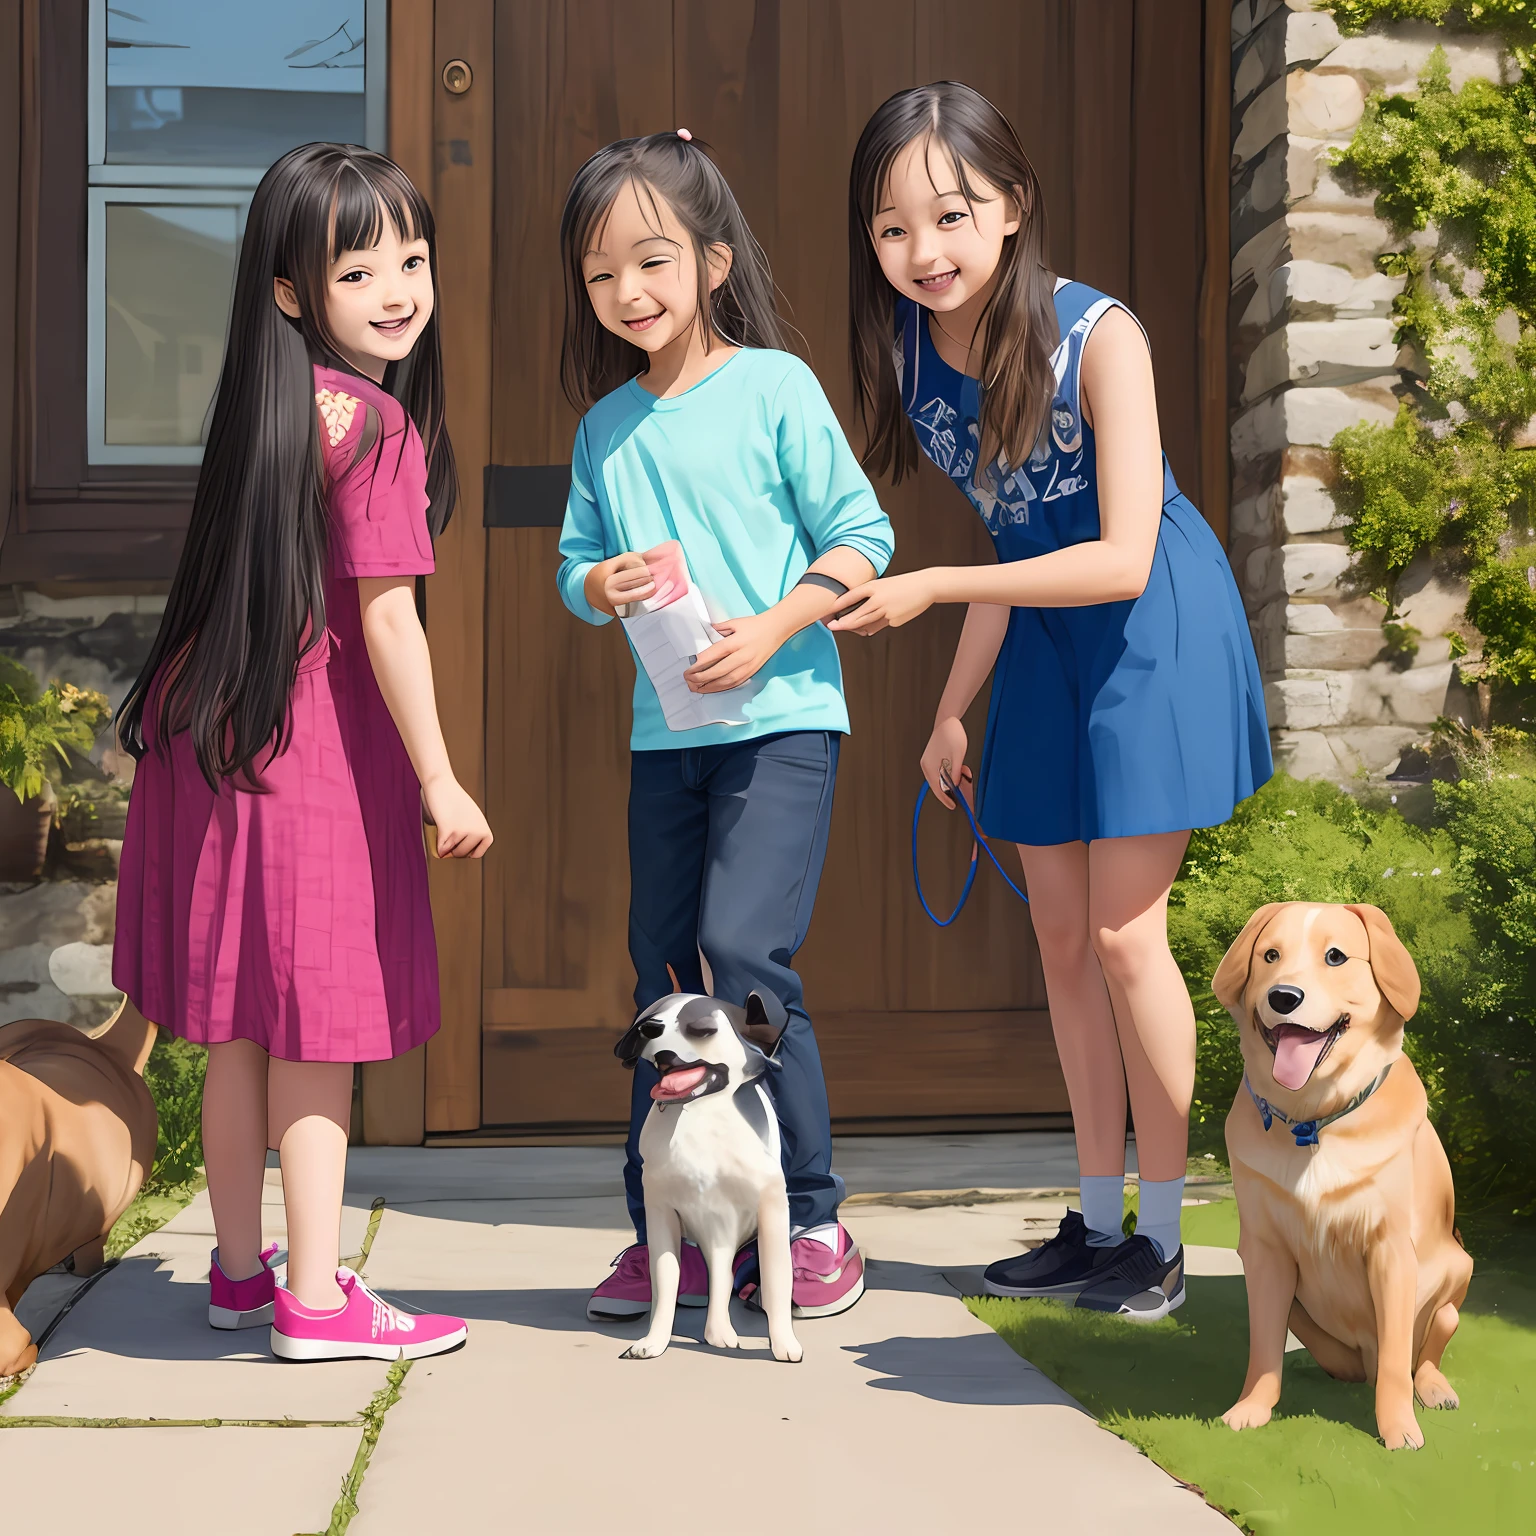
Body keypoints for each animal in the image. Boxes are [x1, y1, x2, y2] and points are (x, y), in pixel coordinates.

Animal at [611, 989, 804, 1363]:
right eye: (646, 1023)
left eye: (701, 1029)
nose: (650, 1029)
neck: (698, 1114)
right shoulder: (661, 1214)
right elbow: (665, 1281)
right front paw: (653, 1341)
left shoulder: (771, 1214)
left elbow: (776, 1281)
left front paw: (784, 1344)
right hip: (714, 1238)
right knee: (720, 1279)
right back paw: (718, 1333)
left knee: (730, 1278)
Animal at [1210, 897, 1474, 1449]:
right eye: (1270, 955)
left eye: (1336, 956)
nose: (1283, 996)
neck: (1313, 1121)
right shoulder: (1264, 1252)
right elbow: (1263, 1348)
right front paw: (1251, 1409)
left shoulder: (1391, 1251)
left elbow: (1397, 1361)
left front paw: (1399, 1430)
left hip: (1456, 1276)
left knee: (1422, 1352)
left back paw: (1433, 1388)